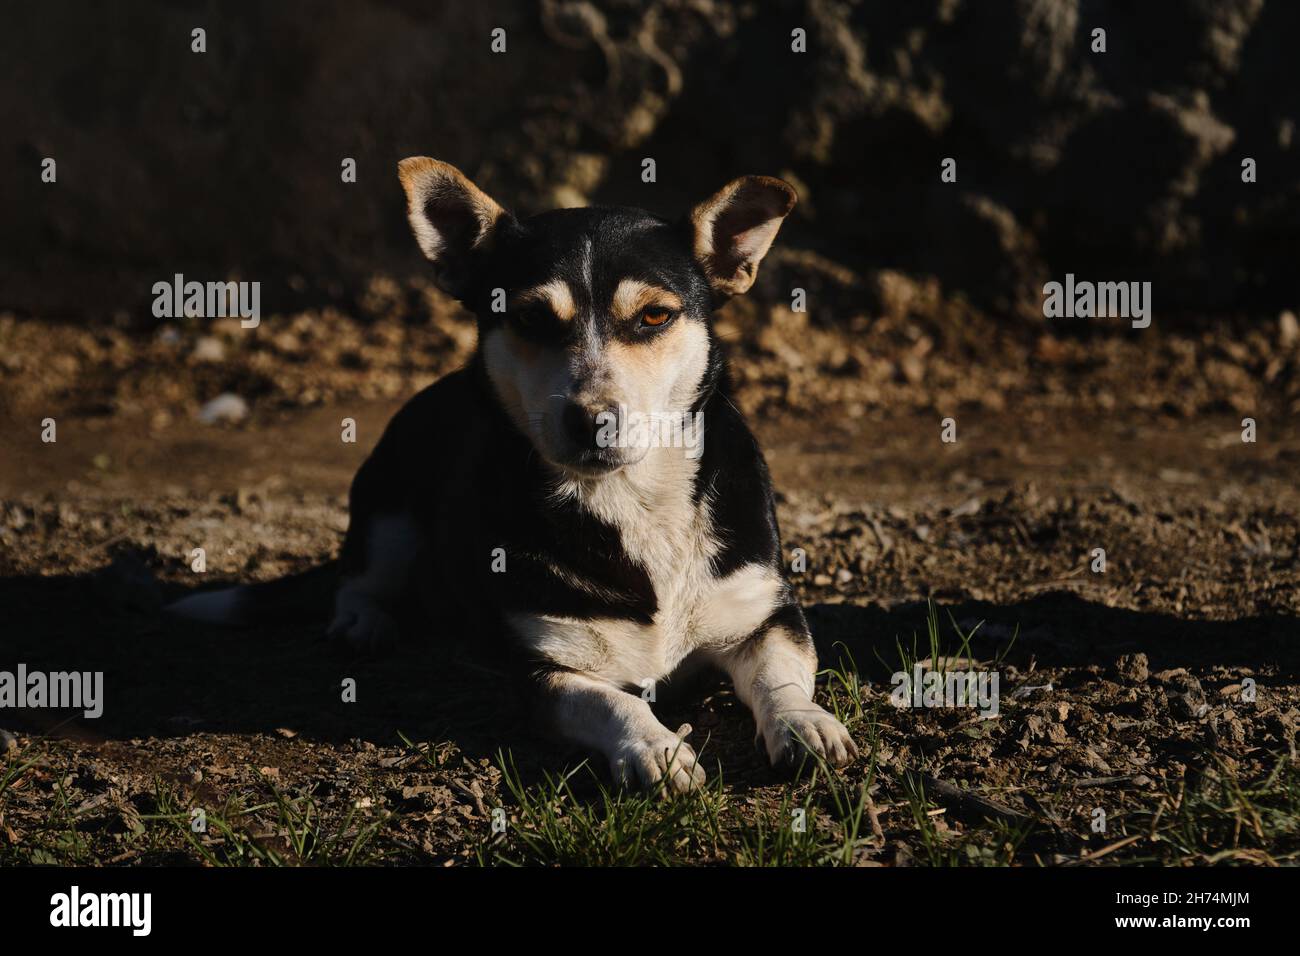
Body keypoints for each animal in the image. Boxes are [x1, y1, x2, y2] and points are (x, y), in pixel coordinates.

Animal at [170, 158, 863, 790]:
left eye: (654, 317)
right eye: (531, 318)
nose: (592, 421)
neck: (631, 500)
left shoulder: (766, 616)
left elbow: (780, 675)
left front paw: (803, 723)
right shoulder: (547, 671)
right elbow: (613, 701)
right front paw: (657, 748)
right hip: (389, 510)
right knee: (357, 579)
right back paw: (364, 622)